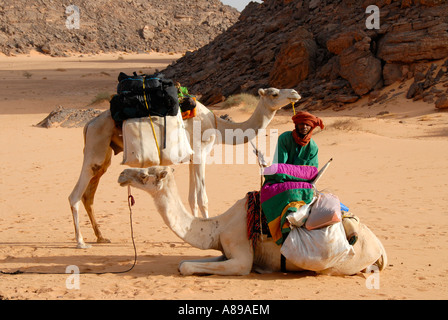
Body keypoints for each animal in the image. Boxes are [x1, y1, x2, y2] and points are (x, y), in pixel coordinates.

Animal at [69, 87, 300, 248]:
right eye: (274, 93)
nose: (295, 93)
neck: (218, 126)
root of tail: (88, 124)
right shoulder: (200, 154)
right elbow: (202, 197)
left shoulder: (191, 159)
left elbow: (192, 198)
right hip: (95, 146)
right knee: (75, 195)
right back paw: (81, 242)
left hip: (104, 153)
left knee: (89, 194)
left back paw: (101, 237)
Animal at [117, 166, 386, 276]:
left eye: (144, 175)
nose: (121, 175)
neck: (217, 227)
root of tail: (380, 248)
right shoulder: (225, 251)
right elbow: (185, 261)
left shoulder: (240, 254)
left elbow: (186, 267)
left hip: (342, 263)